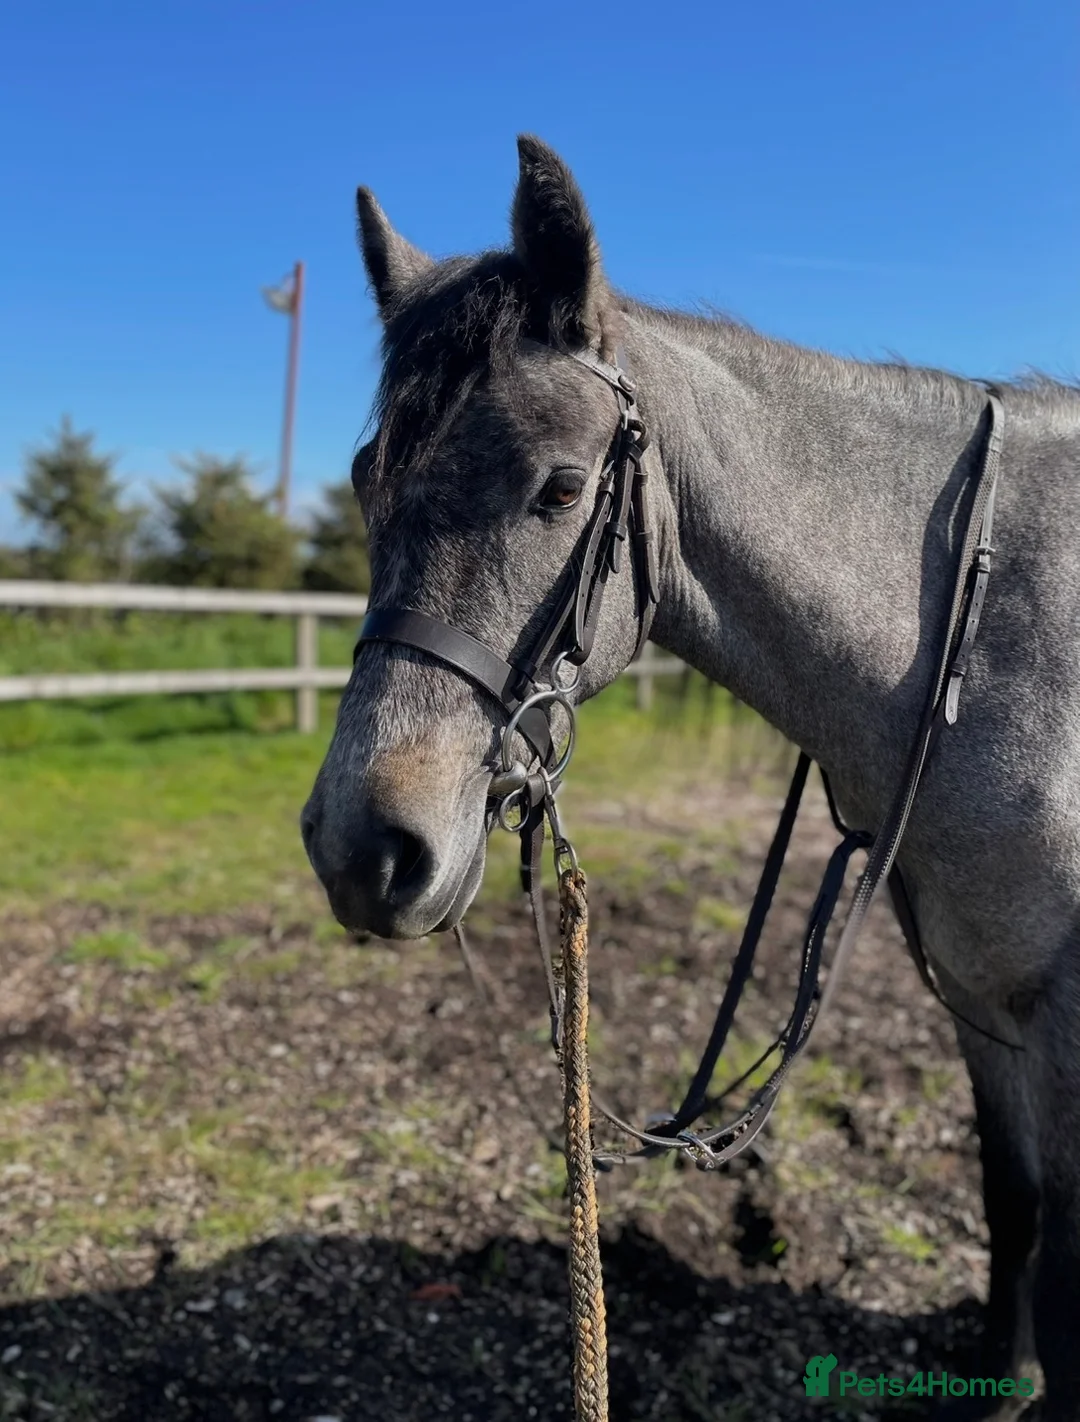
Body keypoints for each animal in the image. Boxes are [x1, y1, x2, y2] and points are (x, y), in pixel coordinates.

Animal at [301, 135, 1080, 1419]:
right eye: (370, 478)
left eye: (562, 490)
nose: (364, 850)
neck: (999, 631)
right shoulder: (986, 1004)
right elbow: (1015, 1206)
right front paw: (1005, 1382)